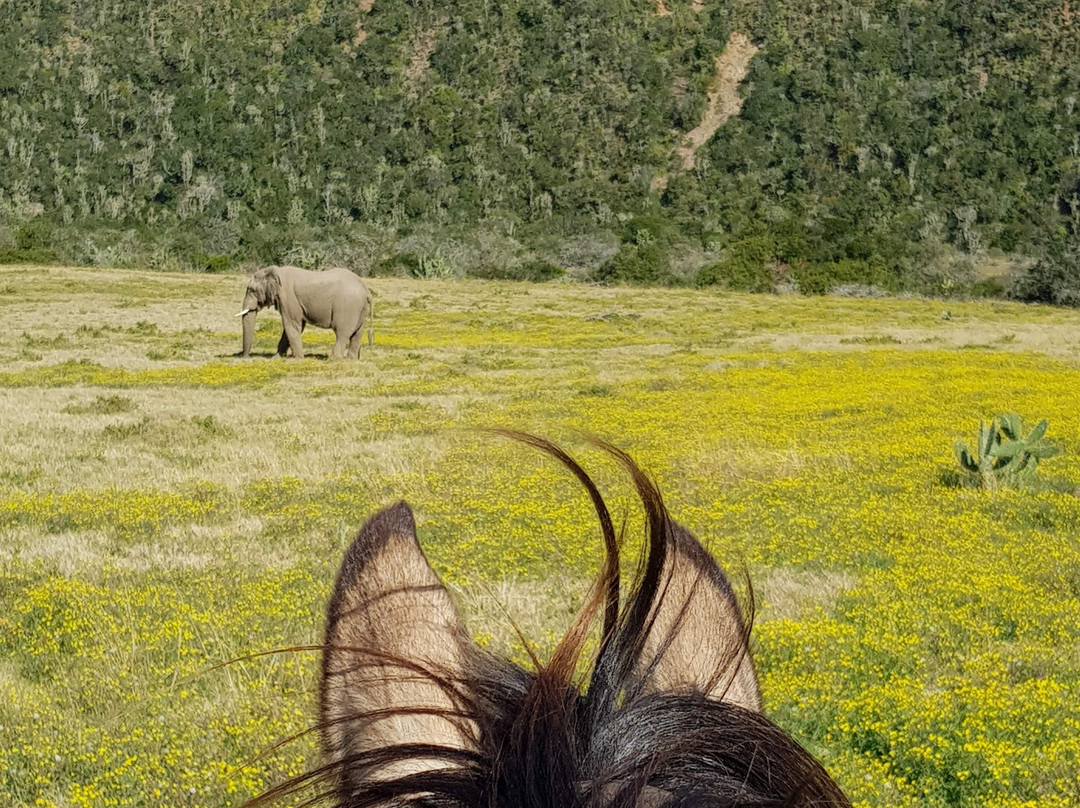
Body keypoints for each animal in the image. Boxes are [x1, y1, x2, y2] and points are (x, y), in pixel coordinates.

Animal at [234, 264, 373, 360]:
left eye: (251, 290)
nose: (244, 356)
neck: (276, 271)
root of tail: (366, 291)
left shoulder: (288, 298)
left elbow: (291, 325)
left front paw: (296, 359)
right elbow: (294, 327)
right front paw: (276, 358)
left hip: (348, 307)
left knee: (342, 332)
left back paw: (333, 359)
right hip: (359, 309)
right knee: (357, 333)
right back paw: (351, 359)